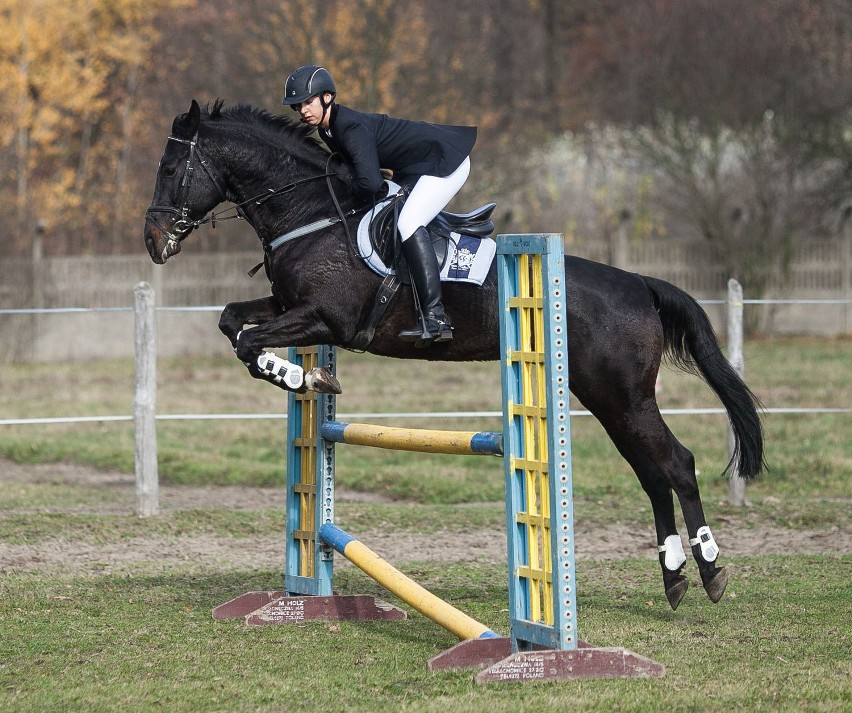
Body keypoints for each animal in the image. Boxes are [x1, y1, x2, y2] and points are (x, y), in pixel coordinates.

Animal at [141, 101, 764, 612]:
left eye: (170, 170)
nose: (153, 242)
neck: (309, 213)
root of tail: (640, 284)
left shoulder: (327, 318)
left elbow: (249, 343)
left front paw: (304, 376)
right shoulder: (287, 305)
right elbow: (231, 321)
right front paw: (305, 376)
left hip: (624, 396)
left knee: (676, 464)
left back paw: (709, 570)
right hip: (607, 398)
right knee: (652, 474)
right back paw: (674, 576)